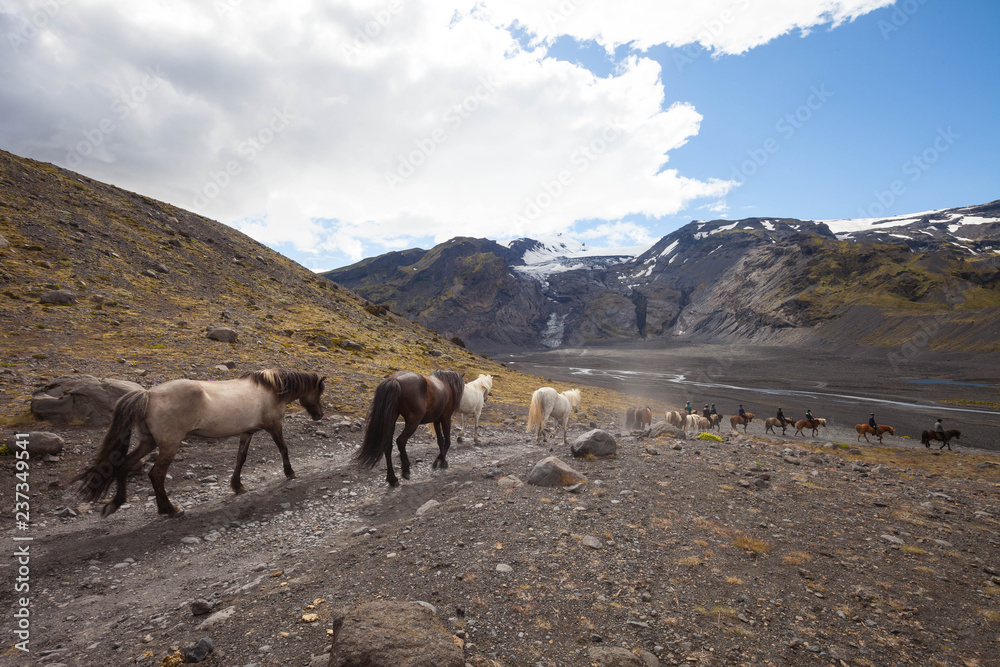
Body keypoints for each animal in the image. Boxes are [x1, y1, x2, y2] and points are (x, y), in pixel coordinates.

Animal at [74, 369, 326, 518]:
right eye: (319, 392)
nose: (319, 415)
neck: (272, 389)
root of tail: (149, 394)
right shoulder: (274, 426)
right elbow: (283, 448)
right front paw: (290, 472)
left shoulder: (247, 433)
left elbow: (241, 458)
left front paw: (237, 485)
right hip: (169, 445)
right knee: (156, 474)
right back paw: (170, 509)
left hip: (148, 443)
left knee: (125, 466)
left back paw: (116, 503)